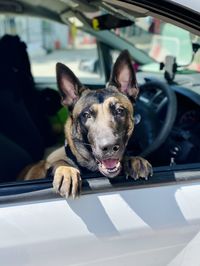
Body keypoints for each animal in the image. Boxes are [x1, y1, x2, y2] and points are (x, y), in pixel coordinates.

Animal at [22, 50, 152, 197]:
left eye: (119, 111)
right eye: (86, 115)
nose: (109, 147)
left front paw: (133, 160)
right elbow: (58, 162)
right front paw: (66, 170)